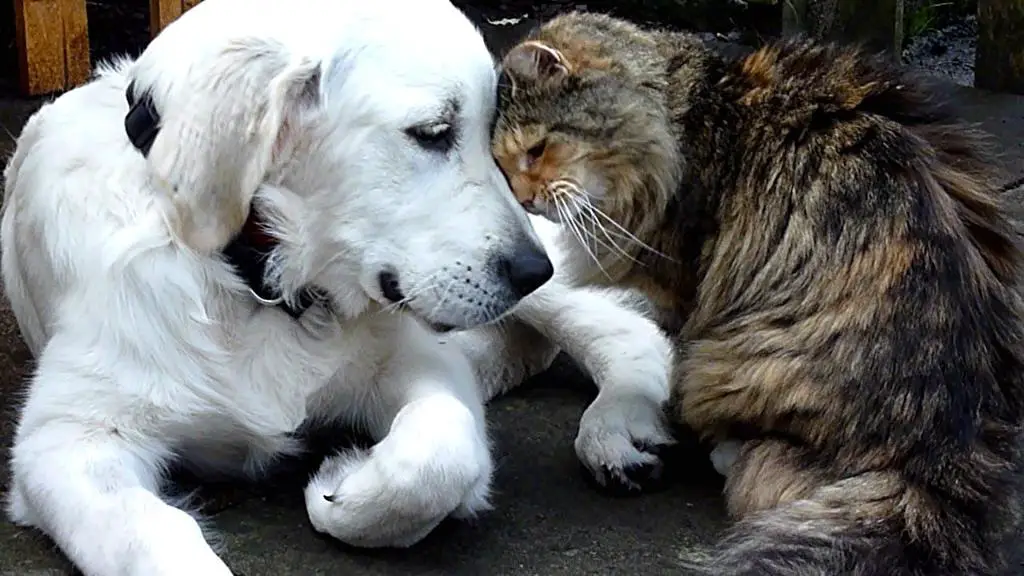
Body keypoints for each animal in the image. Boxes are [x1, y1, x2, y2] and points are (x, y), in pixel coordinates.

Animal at [0, 0, 675, 569]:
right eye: (433, 132)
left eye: (490, 133)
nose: (532, 272)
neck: (258, 279)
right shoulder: (66, 439)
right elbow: (153, 535)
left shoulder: (413, 360)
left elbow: (442, 456)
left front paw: (343, 489)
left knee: (628, 331)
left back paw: (617, 428)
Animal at [491, 10, 1024, 573]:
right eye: (502, 167)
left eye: (536, 150)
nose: (525, 200)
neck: (687, 117)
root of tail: (951, 450)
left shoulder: (686, 289)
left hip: (729, 360)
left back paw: (727, 451)